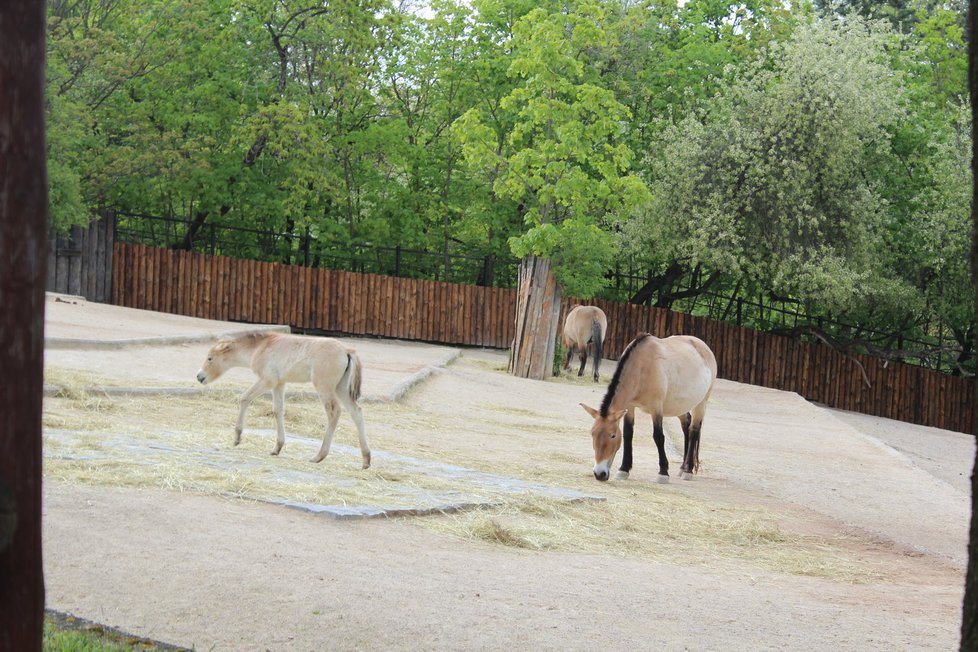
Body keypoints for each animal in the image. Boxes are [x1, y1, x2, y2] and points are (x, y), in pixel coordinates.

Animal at [196, 332, 372, 468]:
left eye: (210, 358)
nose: (199, 377)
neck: (259, 347)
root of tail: (347, 351)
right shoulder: (279, 384)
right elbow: (278, 410)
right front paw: (277, 447)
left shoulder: (267, 381)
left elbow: (245, 398)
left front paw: (237, 437)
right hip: (340, 388)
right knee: (356, 412)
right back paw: (366, 459)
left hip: (324, 387)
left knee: (334, 412)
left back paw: (319, 456)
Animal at [580, 334, 716, 482]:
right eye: (592, 434)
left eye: (612, 435)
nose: (599, 474)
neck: (642, 367)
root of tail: (704, 347)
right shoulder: (630, 406)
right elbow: (628, 434)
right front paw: (623, 469)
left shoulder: (656, 408)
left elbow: (658, 437)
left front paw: (663, 473)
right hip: (680, 406)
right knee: (686, 425)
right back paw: (682, 468)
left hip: (701, 403)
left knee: (693, 431)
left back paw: (688, 471)